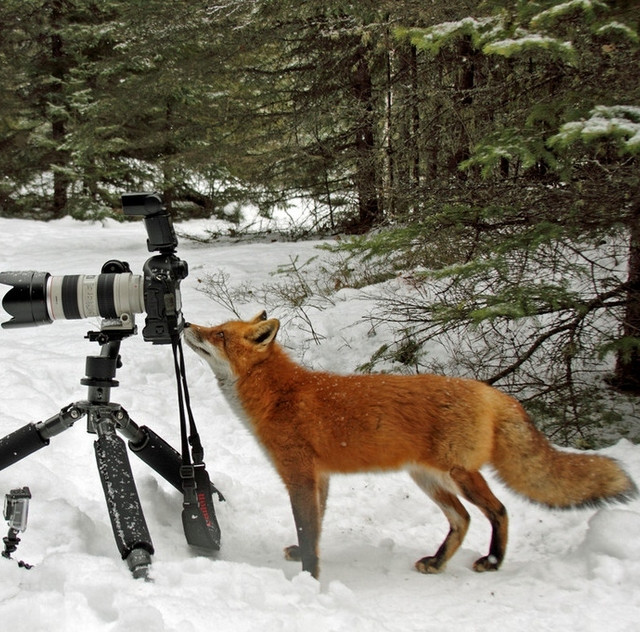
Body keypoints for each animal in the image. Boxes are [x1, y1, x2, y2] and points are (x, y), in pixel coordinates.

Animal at [182, 314, 636, 580]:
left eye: (219, 334)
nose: (186, 324)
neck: (280, 395)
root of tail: (491, 392)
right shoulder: (318, 477)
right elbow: (314, 527)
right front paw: (305, 556)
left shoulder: (298, 475)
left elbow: (309, 527)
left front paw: (310, 577)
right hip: (428, 480)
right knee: (462, 520)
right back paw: (437, 562)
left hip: (459, 475)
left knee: (499, 511)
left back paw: (492, 561)